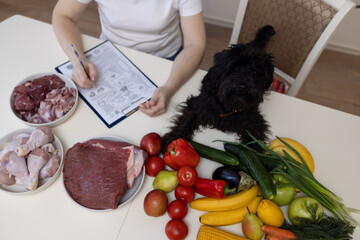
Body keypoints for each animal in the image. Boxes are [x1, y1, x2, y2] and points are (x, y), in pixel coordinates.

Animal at [163, 24, 276, 152]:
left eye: (255, 72)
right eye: (235, 67)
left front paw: (255, 152)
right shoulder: (197, 105)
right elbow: (186, 120)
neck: (230, 107)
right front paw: (173, 138)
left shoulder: (253, 119)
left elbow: (255, 136)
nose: (242, 86)